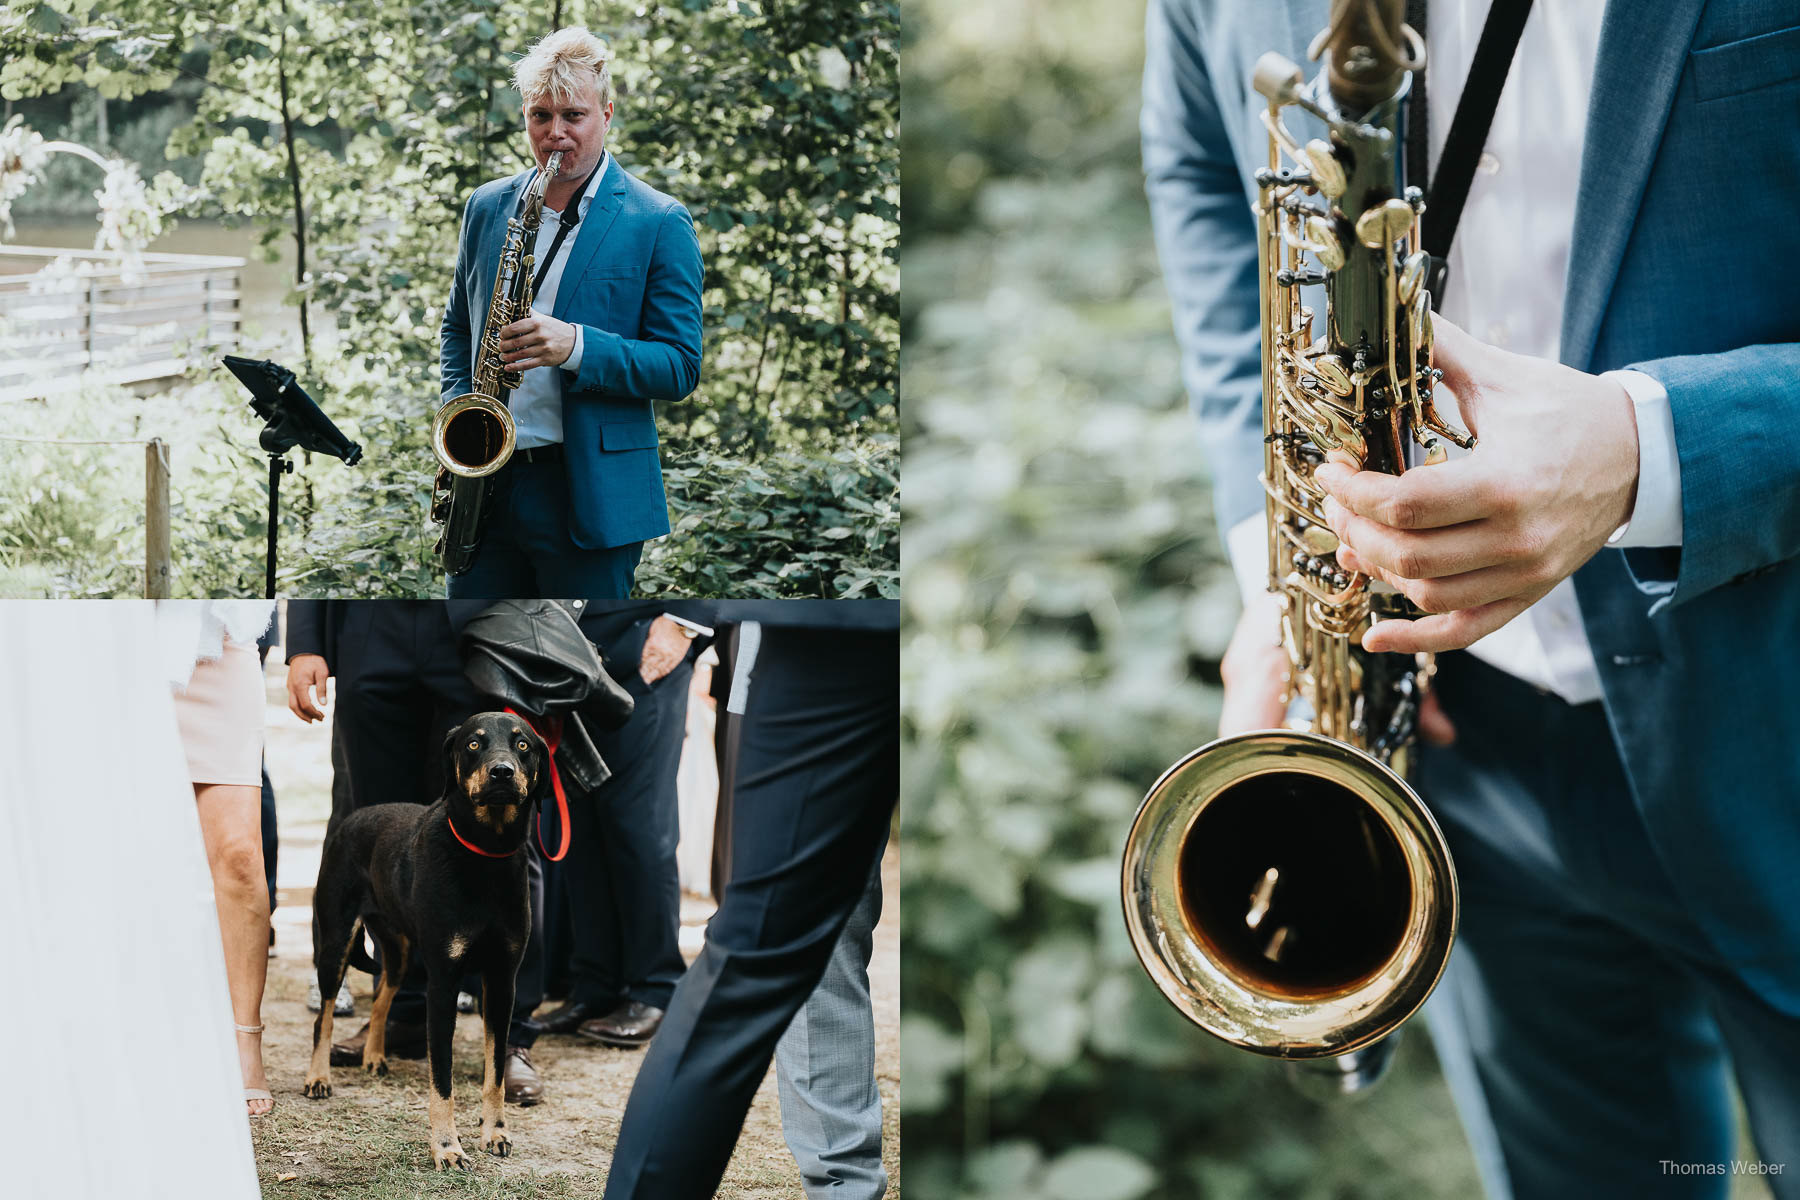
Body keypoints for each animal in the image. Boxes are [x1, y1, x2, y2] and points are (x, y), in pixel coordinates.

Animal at [304, 712, 547, 1173]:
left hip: (398, 951)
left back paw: (374, 1056)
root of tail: (351, 819)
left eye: (523, 745)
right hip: (335, 942)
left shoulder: (502, 981)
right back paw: (318, 1078)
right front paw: (448, 1148)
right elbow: (442, 1080)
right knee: (323, 1017)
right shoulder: (443, 984)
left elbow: (495, 1075)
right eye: (473, 744)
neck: (485, 856)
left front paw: (495, 1133)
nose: (502, 772)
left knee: (383, 997)